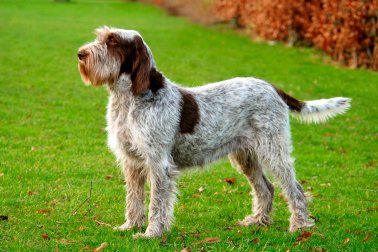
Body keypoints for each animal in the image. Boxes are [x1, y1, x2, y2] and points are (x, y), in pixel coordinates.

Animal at [77, 26, 352, 239]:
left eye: (112, 41)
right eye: (101, 37)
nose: (80, 54)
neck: (129, 99)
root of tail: (272, 87)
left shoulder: (159, 164)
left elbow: (156, 203)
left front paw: (152, 233)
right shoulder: (132, 162)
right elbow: (133, 199)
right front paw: (130, 226)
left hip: (273, 150)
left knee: (295, 189)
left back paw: (299, 226)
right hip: (246, 156)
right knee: (266, 188)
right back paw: (257, 221)